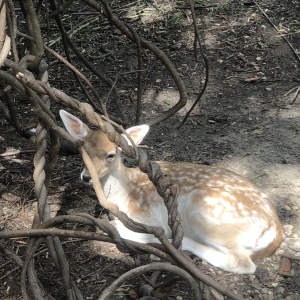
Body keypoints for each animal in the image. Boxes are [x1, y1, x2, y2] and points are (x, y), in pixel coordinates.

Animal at [59, 109, 282, 274]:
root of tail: (274, 229)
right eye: (83, 150)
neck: (123, 195)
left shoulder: (148, 215)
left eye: (111, 154)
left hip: (207, 210)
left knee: (242, 263)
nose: (86, 177)